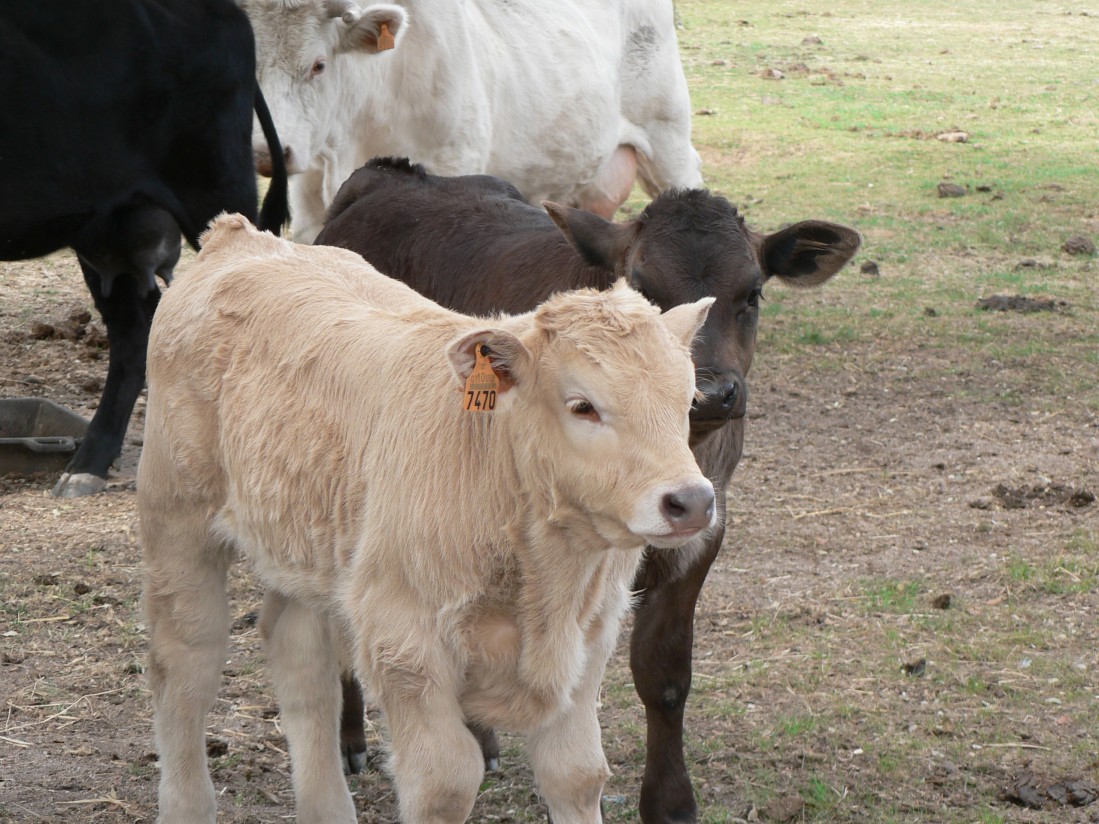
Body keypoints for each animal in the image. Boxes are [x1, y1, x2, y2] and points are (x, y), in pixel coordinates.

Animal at [137, 214, 716, 824]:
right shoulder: (403, 637)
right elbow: (444, 782)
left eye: (687, 401)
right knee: (185, 663)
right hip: (177, 520)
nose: (691, 501)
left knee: (302, 663)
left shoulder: (591, 635)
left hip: (301, 545)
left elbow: (576, 772)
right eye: (582, 405)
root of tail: (238, 237)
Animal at [314, 156, 861, 824]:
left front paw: (670, 802)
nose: (710, 391)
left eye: (752, 292)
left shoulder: (702, 533)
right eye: (643, 287)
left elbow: (665, 675)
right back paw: (349, 739)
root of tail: (389, 175)